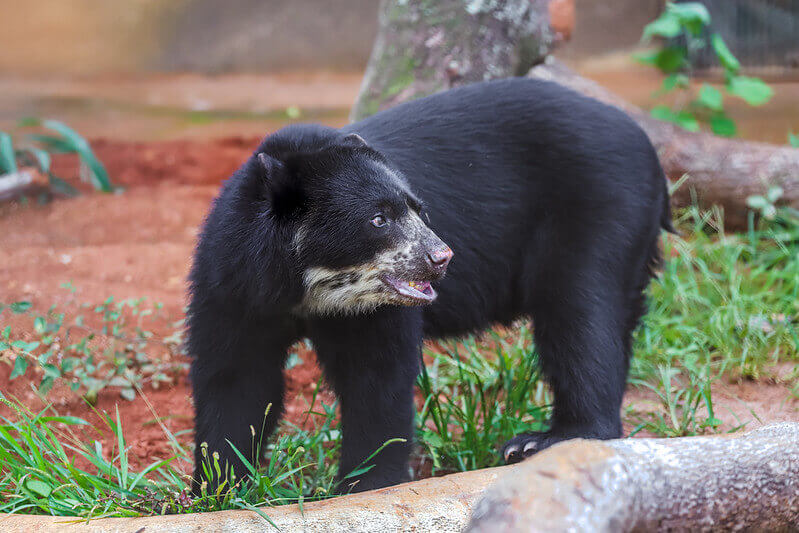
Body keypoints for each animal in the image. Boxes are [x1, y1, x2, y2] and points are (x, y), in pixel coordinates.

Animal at [188, 77, 676, 492]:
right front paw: (217, 488)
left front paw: (364, 484)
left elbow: (377, 378)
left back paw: (548, 441)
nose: (441, 258)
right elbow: (237, 378)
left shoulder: (372, 310)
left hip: (600, 211)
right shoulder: (231, 286)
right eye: (378, 219)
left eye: (418, 210)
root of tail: (649, 147)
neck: (308, 286)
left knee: (579, 317)